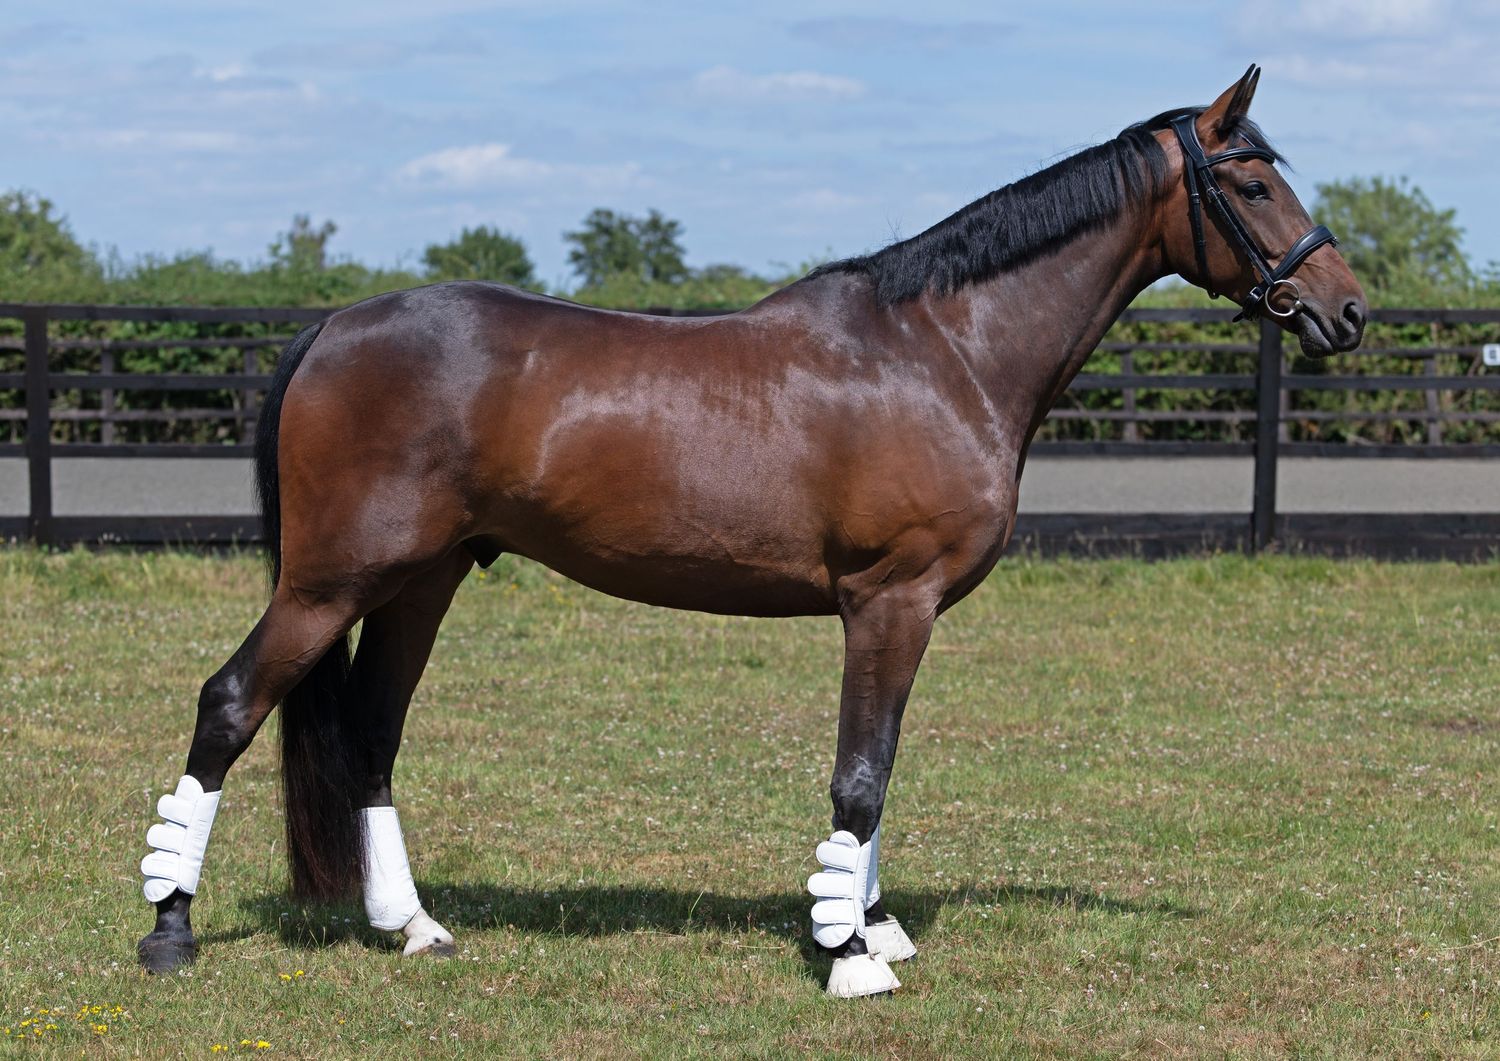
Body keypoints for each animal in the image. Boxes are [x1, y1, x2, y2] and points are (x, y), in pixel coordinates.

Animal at [136, 66, 1365, 997]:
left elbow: (882, 768)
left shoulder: (902, 613)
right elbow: (860, 774)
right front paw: (851, 953)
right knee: (231, 704)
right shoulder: (889, 600)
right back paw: (171, 927)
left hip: (420, 580)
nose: (1346, 310)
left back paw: (413, 925)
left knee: (372, 734)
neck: (942, 349)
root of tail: (335, 326)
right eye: (1252, 181)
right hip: (330, 580)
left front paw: (869, 921)